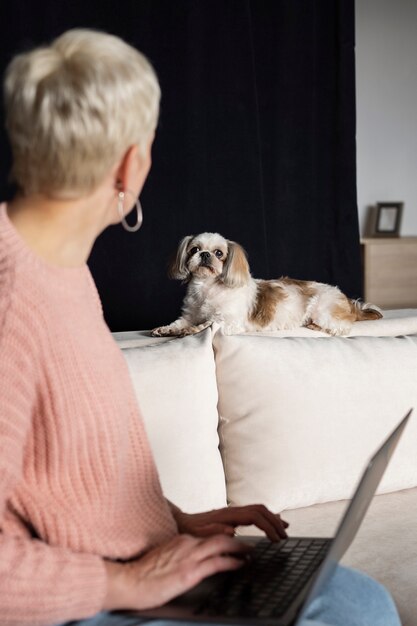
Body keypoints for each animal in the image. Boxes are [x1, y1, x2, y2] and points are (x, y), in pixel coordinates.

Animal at [151, 232, 382, 336]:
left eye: (219, 253)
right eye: (194, 249)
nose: (205, 254)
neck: (207, 287)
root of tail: (347, 300)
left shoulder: (229, 321)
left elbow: (207, 324)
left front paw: (189, 331)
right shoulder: (190, 314)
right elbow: (180, 322)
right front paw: (166, 329)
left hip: (323, 308)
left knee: (341, 327)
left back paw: (315, 325)